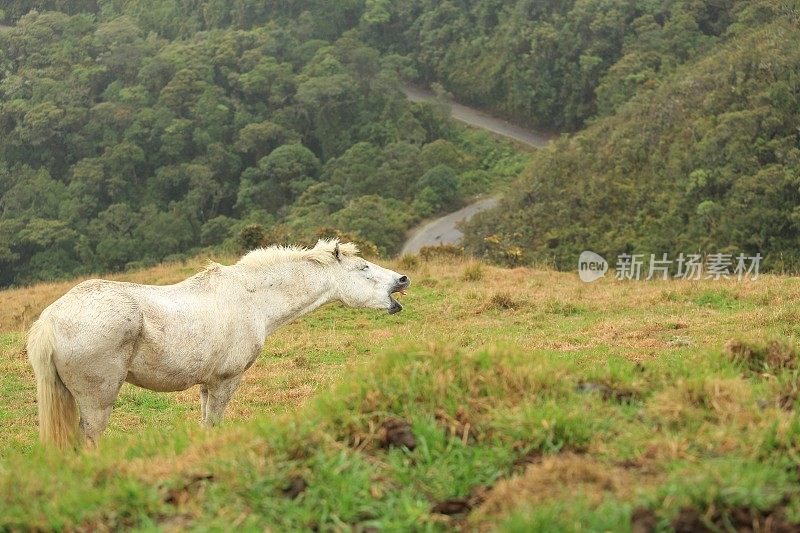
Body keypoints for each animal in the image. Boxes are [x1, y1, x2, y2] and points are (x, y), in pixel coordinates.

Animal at [28, 239, 410, 446]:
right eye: (363, 268)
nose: (403, 279)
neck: (251, 298)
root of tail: (50, 320)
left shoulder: (207, 385)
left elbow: (205, 425)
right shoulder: (227, 381)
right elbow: (214, 424)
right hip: (98, 400)